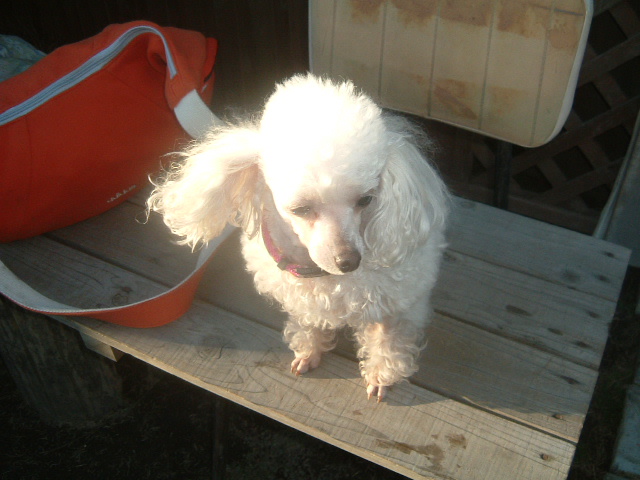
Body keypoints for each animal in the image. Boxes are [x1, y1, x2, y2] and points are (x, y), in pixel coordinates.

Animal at [148, 74, 449, 401]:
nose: (349, 261)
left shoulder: (395, 305)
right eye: (301, 209)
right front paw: (309, 350)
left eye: (366, 200)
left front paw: (382, 375)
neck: (322, 277)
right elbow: (308, 324)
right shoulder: (302, 300)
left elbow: (387, 340)